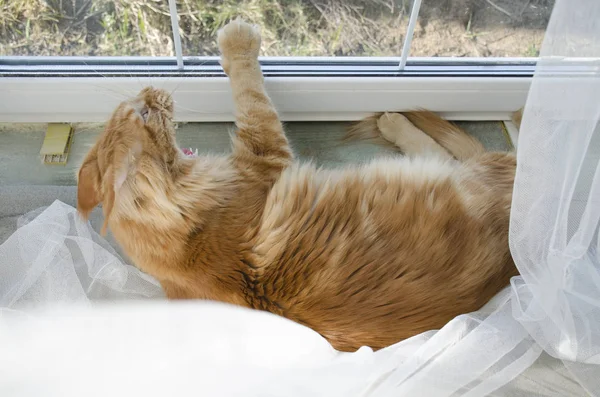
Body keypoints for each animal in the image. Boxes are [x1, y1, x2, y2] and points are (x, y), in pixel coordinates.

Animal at [76, 17, 516, 352]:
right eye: (144, 113)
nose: (154, 90)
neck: (185, 237)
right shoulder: (265, 152)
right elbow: (250, 91)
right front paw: (237, 39)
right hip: (456, 174)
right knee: (438, 151)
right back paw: (393, 121)